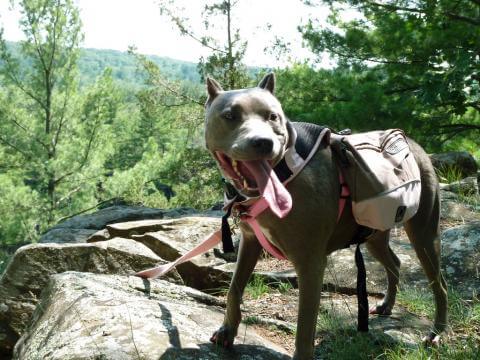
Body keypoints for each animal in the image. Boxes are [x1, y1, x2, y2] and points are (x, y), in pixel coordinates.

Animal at [204, 74, 448, 360]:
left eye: (273, 116)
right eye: (229, 115)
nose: (263, 142)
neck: (286, 171)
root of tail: (415, 145)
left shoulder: (310, 263)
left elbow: (304, 325)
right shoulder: (250, 241)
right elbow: (234, 289)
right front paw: (227, 331)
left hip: (424, 233)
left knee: (439, 283)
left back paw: (436, 332)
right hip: (374, 235)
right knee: (395, 263)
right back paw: (387, 305)